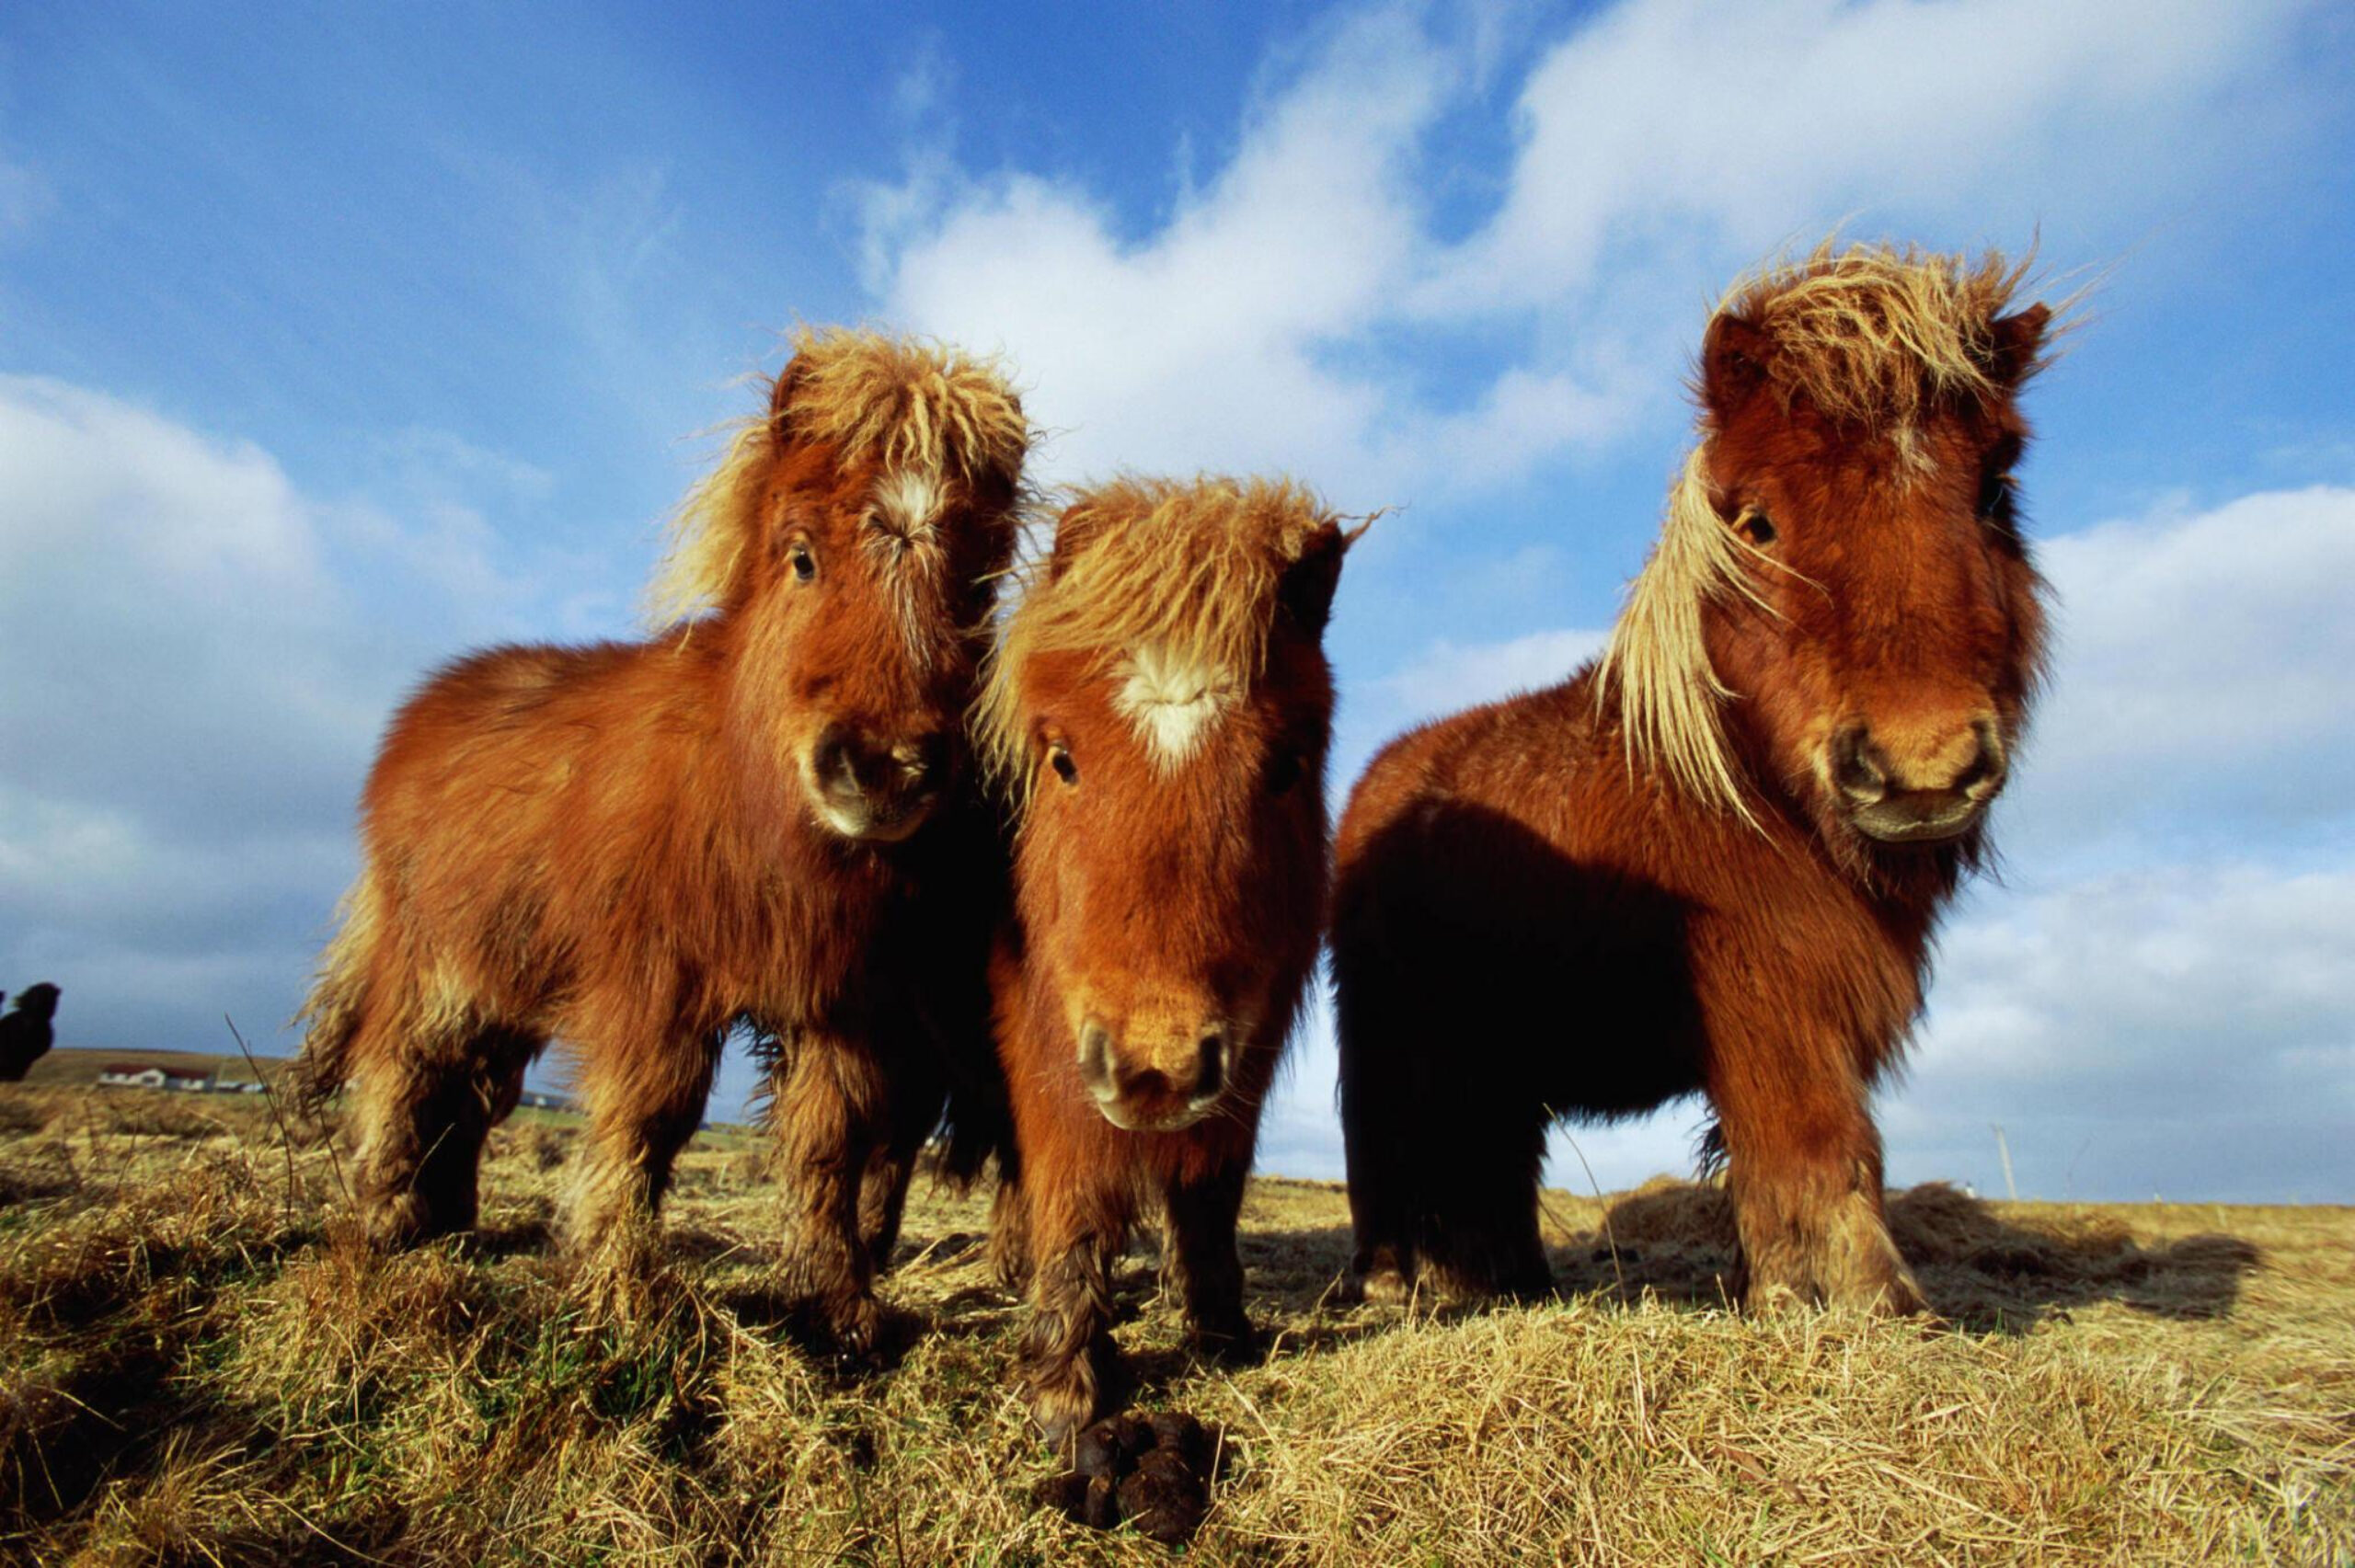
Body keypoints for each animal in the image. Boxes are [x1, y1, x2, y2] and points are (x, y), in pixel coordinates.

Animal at [296, 329, 1031, 1346]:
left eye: (976, 589)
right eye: (802, 557)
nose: (883, 768)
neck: (750, 802)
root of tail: (421, 714)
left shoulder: (843, 1002)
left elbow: (830, 1143)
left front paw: (837, 1307)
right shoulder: (654, 984)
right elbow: (646, 1122)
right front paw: (616, 1292)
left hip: (506, 983)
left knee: (473, 1093)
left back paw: (448, 1223)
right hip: (436, 963)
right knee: (399, 1071)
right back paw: (384, 1224)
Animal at [965, 480, 1356, 1440]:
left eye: (1286, 765)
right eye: (1062, 758)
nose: (1157, 1069)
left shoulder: (1244, 1055)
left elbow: (1211, 1191)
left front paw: (1221, 1330)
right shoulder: (1049, 1043)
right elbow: (1070, 1188)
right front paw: (1065, 1382)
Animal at [1338, 245, 2053, 1309]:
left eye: (1994, 495)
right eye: (1756, 523)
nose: (1921, 768)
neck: (1741, 790)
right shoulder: (1768, 1000)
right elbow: (1816, 1143)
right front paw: (1864, 1304)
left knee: (1488, 1159)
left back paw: (1509, 1284)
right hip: (1395, 1036)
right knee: (1394, 1149)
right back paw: (1401, 1284)